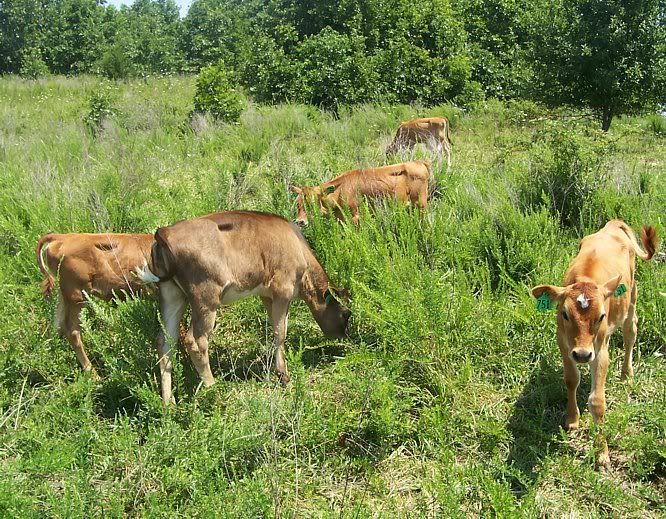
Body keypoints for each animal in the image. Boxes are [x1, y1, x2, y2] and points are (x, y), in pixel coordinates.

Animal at [37, 232, 156, 375]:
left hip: (64, 296)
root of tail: (62, 236)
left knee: (56, 327)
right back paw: (92, 374)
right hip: (76, 296)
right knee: (72, 332)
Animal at [136, 211, 351, 405]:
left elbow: (274, 329)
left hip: (172, 296)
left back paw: (168, 404)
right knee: (195, 341)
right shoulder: (283, 289)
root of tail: (164, 232)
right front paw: (284, 377)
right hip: (205, 298)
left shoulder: (267, 295)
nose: (345, 339)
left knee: (165, 342)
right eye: (346, 314)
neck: (298, 247)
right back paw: (214, 390)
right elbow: (280, 332)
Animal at [289, 160, 431, 226]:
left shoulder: (356, 217)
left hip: (421, 204)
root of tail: (418, 162)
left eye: (312, 203)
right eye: (298, 204)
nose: (300, 222)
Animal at [531, 220, 658, 467]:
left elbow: (597, 401)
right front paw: (572, 419)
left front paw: (601, 452)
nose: (581, 355)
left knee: (630, 332)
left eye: (601, 316)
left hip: (632, 297)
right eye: (564, 314)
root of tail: (614, 224)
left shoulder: (600, 351)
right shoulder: (563, 343)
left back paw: (627, 374)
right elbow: (571, 379)